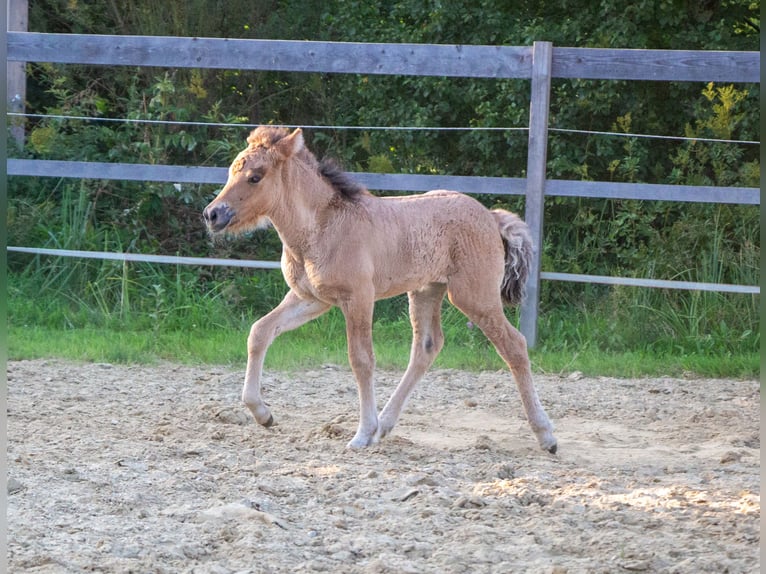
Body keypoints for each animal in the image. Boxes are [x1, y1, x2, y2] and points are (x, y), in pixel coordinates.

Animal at [203, 126, 557, 453]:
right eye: (231, 171)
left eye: (255, 177)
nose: (212, 214)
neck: (321, 227)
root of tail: (492, 217)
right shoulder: (311, 298)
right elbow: (260, 331)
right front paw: (262, 414)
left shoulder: (358, 298)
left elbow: (361, 360)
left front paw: (360, 434)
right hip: (426, 290)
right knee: (426, 347)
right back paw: (384, 426)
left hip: (474, 296)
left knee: (514, 345)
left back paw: (546, 435)